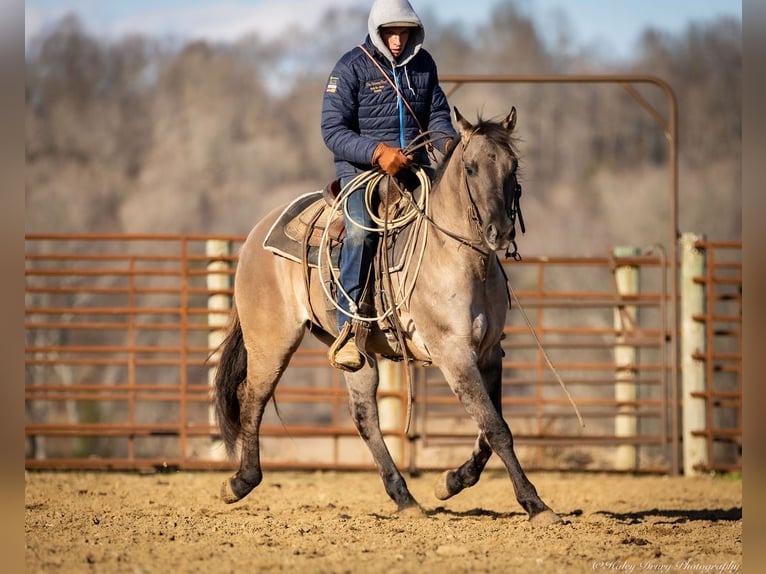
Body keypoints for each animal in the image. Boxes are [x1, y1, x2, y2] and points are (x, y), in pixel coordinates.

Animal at [214, 106, 564, 528]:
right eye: (471, 167)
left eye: (513, 166)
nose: (500, 232)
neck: (459, 258)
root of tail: (255, 235)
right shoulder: (454, 354)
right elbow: (497, 429)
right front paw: (535, 503)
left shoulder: (490, 352)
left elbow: (488, 428)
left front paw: (449, 482)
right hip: (271, 342)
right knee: (252, 398)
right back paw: (240, 482)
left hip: (356, 353)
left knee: (364, 416)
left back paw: (405, 498)